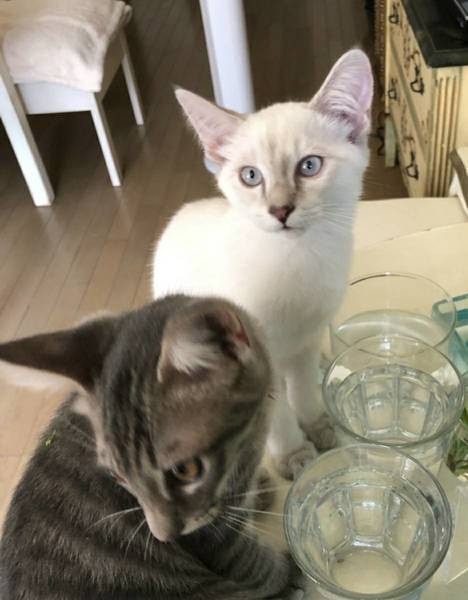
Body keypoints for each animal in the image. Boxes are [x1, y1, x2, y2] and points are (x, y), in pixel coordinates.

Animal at [0, 296, 303, 599]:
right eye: (119, 477)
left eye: (185, 470)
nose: (164, 537)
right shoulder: (217, 540)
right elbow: (252, 564)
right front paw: (289, 574)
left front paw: (257, 488)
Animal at [151, 49, 374, 478]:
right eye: (251, 176)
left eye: (309, 166)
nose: (280, 210)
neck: (299, 259)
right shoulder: (252, 358)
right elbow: (278, 411)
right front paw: (294, 455)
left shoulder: (307, 335)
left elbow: (302, 389)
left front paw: (320, 425)